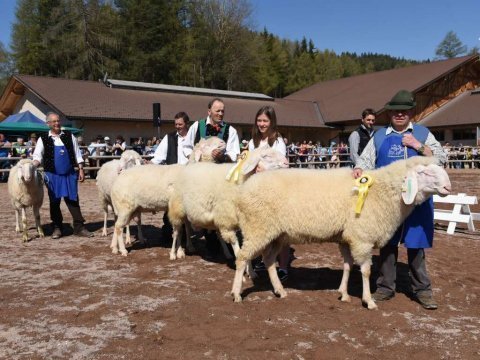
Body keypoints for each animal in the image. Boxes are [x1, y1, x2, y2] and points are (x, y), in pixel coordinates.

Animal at [231, 158, 452, 310]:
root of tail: (242, 190)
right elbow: (365, 271)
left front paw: (343, 294)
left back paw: (280, 290)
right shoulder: (362, 237)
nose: (448, 187)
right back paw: (236, 293)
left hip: (276, 234)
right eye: (425, 173)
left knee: (268, 260)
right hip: (257, 228)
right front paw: (369, 300)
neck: (382, 191)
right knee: (242, 258)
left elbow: (347, 266)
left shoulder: (347, 238)